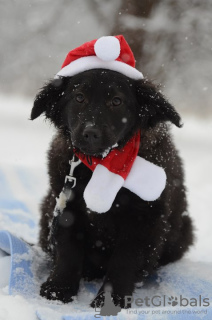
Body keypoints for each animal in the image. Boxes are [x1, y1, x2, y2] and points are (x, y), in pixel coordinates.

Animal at [30, 68, 194, 308]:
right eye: (79, 97)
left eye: (116, 101)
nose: (91, 132)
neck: (100, 164)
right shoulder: (68, 206)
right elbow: (68, 251)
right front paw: (58, 289)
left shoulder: (142, 218)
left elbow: (124, 261)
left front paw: (110, 300)